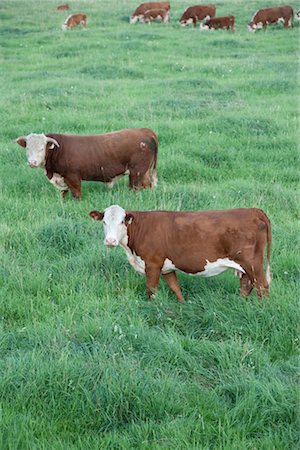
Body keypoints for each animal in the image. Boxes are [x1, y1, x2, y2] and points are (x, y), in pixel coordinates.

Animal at [15, 128, 159, 199]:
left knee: (135, 188)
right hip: (144, 172)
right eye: (28, 148)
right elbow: (63, 194)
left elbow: (77, 194)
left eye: (41, 148)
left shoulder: (72, 177)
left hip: (137, 172)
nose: (32, 162)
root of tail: (145, 130)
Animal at [89, 205, 272, 302]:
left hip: (253, 263)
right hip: (245, 267)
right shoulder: (167, 267)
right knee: (246, 286)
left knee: (262, 287)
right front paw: (183, 305)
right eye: (104, 221)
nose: (110, 241)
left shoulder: (152, 264)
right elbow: (175, 288)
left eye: (122, 222)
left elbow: (151, 291)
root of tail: (253, 210)